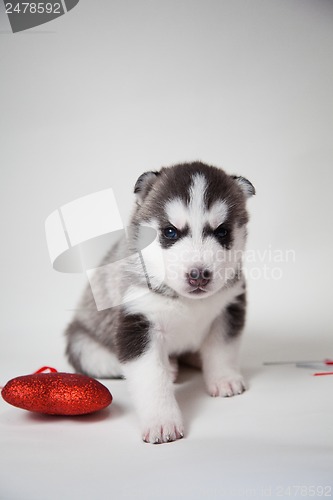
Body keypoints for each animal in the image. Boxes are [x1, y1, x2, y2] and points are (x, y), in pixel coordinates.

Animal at [66, 162, 255, 444]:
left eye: (222, 231)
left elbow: (222, 348)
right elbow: (151, 378)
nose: (198, 274)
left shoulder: (228, 307)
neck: (187, 301)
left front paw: (224, 379)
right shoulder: (138, 322)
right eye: (170, 232)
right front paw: (162, 422)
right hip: (84, 345)